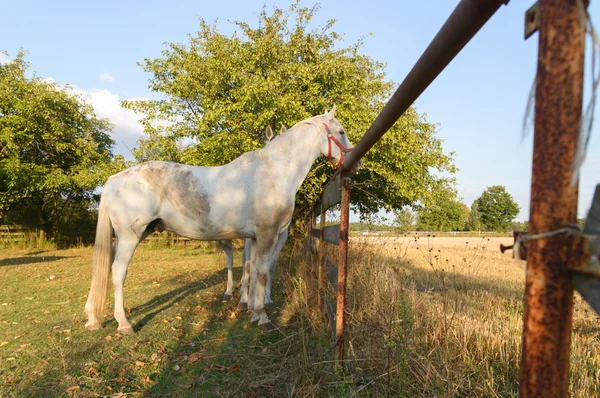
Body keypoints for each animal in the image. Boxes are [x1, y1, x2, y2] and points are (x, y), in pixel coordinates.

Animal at [86, 106, 354, 332]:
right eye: (341, 132)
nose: (355, 161)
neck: (274, 172)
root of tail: (115, 179)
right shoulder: (268, 235)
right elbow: (262, 273)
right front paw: (263, 317)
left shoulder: (254, 238)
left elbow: (252, 270)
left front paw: (253, 311)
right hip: (130, 236)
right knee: (118, 271)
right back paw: (123, 324)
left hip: (135, 234)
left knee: (104, 264)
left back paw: (92, 317)